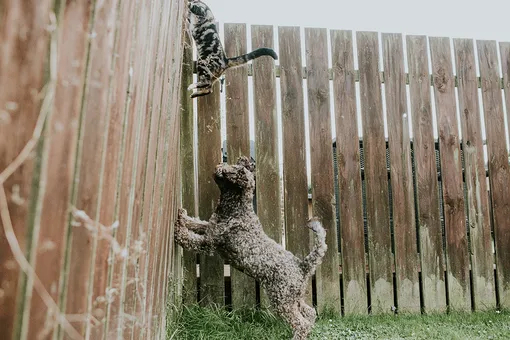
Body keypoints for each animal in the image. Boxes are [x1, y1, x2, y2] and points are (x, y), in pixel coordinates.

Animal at [174, 157, 326, 340]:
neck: (238, 209)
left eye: (229, 169)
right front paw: (182, 216)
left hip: (282, 300)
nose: (219, 165)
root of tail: (302, 266)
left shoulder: (210, 242)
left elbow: (190, 239)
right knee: (310, 312)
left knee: (301, 324)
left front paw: (178, 230)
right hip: (294, 298)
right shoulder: (209, 227)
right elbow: (196, 222)